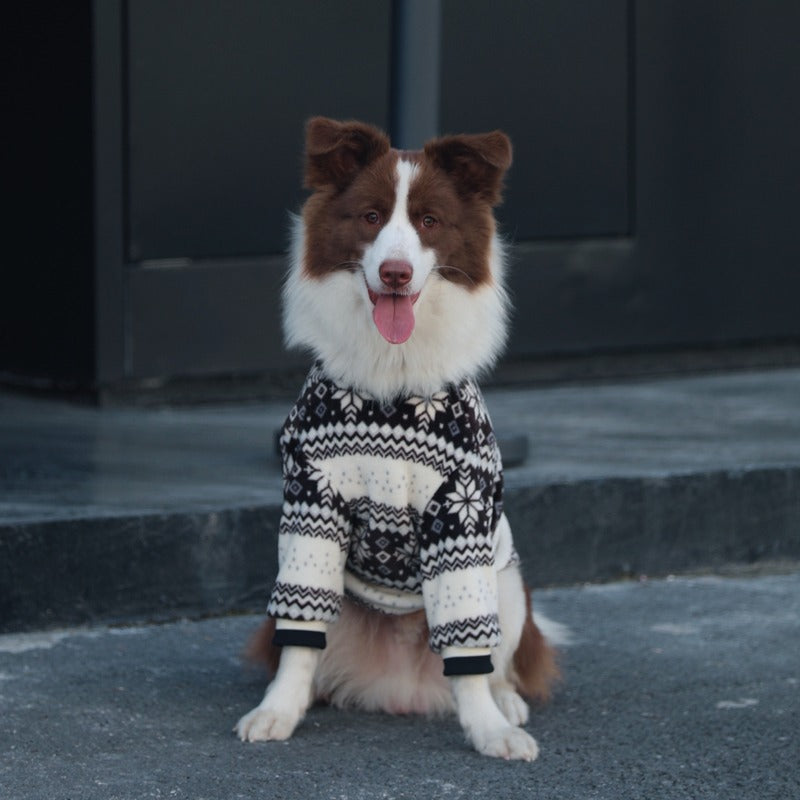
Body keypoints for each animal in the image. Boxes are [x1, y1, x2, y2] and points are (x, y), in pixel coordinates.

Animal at [234, 115, 560, 760]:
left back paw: (506, 703)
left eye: (430, 221)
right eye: (370, 217)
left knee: (498, 660)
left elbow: (470, 650)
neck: (392, 380)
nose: (395, 273)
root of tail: (400, 687)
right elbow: (299, 636)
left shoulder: (461, 507)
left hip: (508, 583)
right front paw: (277, 711)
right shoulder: (310, 500)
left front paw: (489, 730)